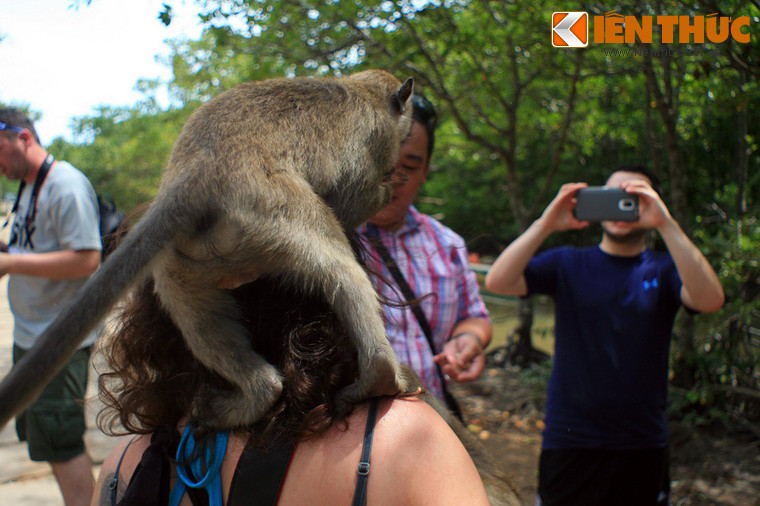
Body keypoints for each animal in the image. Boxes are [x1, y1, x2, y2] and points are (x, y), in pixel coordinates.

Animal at [0, 68, 416, 430]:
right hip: (274, 208)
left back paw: (255, 393)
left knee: (189, 304)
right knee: (343, 271)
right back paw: (379, 375)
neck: (361, 88)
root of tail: (198, 172)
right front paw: (386, 190)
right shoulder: (373, 146)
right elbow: (353, 202)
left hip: (190, 254)